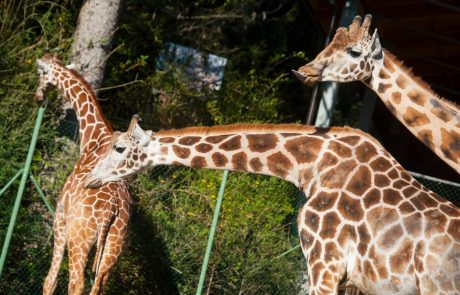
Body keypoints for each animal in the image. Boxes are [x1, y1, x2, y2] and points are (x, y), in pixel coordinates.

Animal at [34, 53, 129, 295]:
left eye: (41, 72)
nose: (38, 97)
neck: (93, 139)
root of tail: (111, 210)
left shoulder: (60, 216)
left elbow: (49, 280)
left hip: (79, 238)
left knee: (76, 283)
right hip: (114, 245)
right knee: (98, 284)